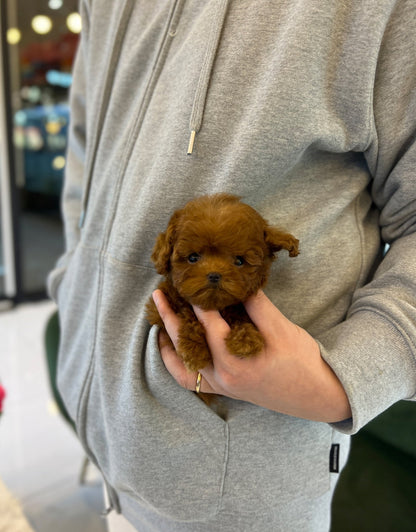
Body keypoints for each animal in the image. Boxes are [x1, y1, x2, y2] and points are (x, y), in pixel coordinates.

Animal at [146, 193, 300, 372]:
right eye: (192, 257)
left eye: (239, 261)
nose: (214, 275)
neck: (218, 307)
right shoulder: (159, 308)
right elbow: (186, 311)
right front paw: (194, 348)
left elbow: (241, 318)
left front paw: (245, 340)